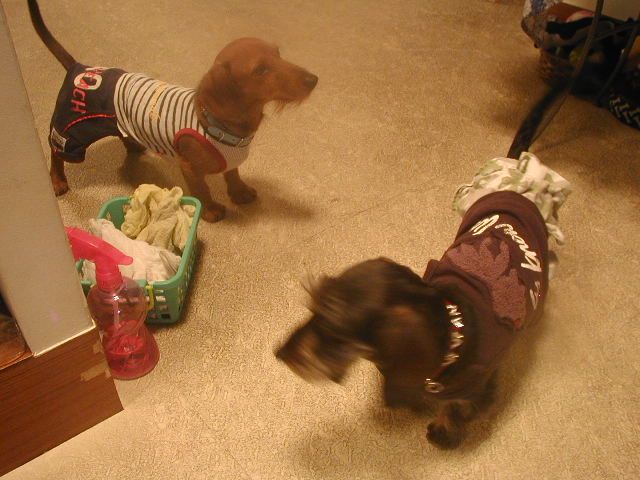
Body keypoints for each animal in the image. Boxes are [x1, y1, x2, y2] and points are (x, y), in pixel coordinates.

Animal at [28, 0, 318, 222]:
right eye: (260, 70)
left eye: (278, 54)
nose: (313, 80)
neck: (217, 125)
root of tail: (80, 67)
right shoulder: (188, 167)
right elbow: (202, 189)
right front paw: (210, 211)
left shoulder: (231, 161)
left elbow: (233, 175)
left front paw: (239, 193)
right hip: (74, 129)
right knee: (55, 152)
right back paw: (57, 181)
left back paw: (133, 145)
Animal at [276, 154, 571, 449]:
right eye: (314, 307)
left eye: (332, 327)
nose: (279, 354)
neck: (455, 337)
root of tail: (523, 190)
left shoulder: (475, 390)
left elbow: (456, 409)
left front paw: (443, 433)